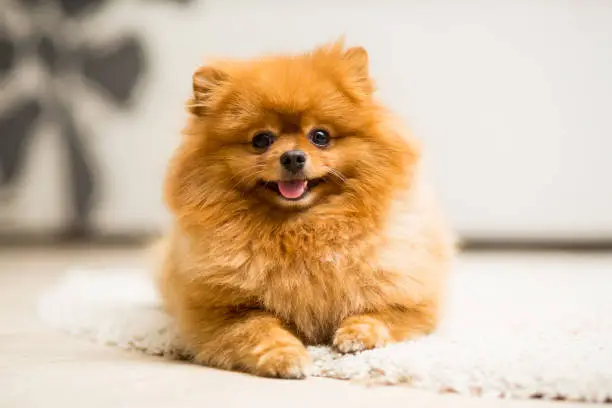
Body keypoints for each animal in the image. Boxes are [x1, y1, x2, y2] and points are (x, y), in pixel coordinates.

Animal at [158, 41, 454, 380]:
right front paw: (285, 357)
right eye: (261, 140)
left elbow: (379, 315)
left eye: (320, 136)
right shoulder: (221, 314)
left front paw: (358, 334)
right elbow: (259, 330)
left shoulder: (410, 299)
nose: (293, 157)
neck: (303, 229)